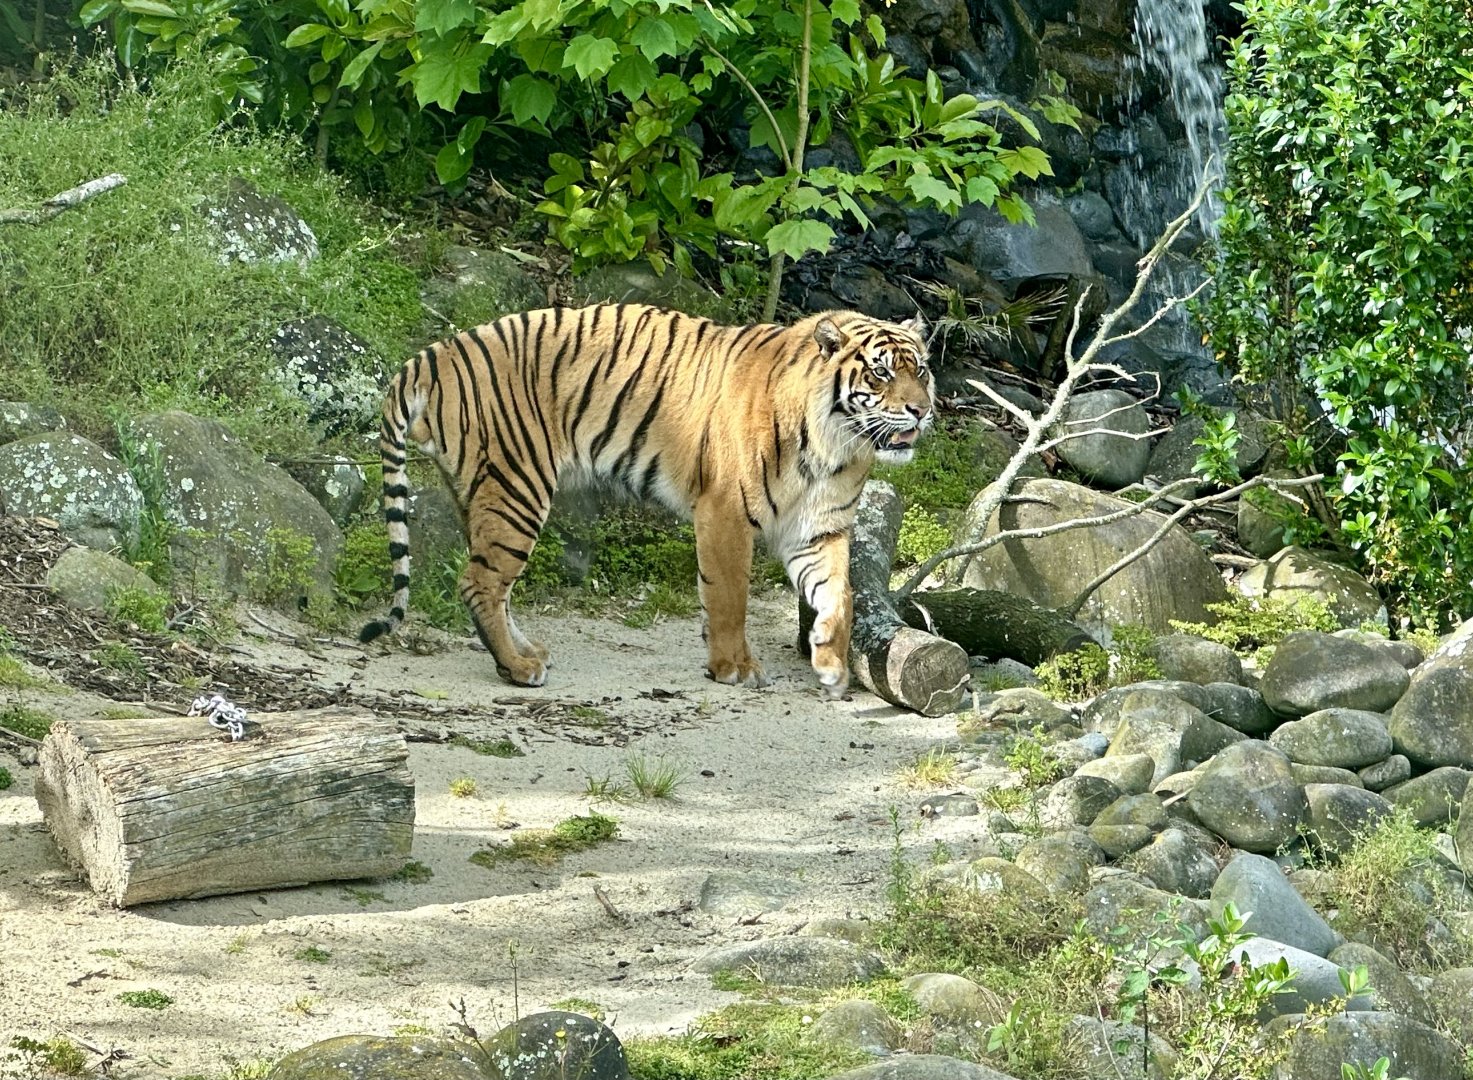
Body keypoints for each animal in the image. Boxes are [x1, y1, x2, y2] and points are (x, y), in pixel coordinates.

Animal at [358, 303, 934, 697]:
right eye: (881, 372)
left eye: (921, 371)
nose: (923, 410)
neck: (837, 441)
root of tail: (435, 354)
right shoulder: (725, 513)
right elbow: (729, 597)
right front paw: (733, 667)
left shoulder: (819, 528)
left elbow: (840, 594)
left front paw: (830, 664)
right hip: (517, 485)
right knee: (479, 583)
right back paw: (518, 669)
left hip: (480, 493)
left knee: (491, 583)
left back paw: (523, 653)